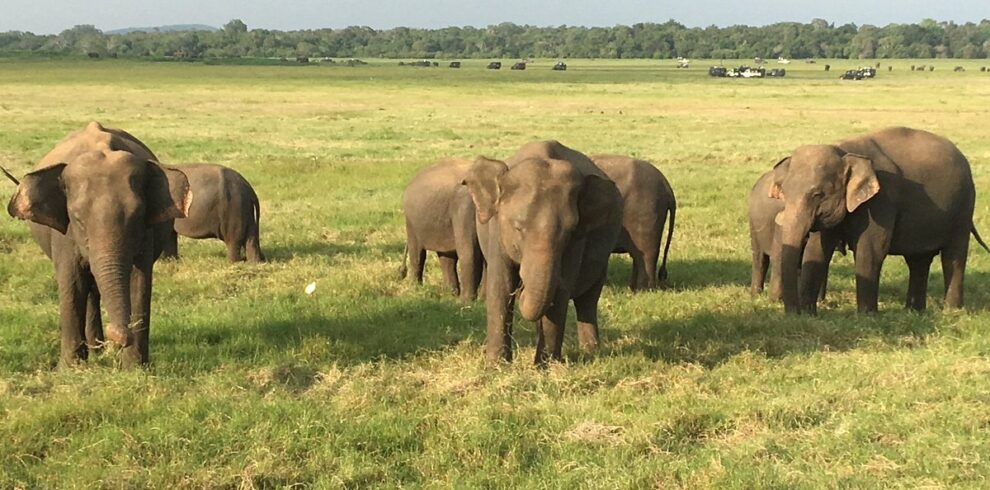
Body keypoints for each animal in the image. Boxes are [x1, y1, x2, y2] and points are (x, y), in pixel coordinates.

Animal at [5, 121, 191, 366]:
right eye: (78, 218)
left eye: (137, 216)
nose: (119, 337)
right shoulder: (65, 236)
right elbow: (72, 281)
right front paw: (71, 368)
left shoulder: (145, 234)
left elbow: (139, 281)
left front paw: (135, 367)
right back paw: (96, 350)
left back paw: (98, 349)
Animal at [400, 158, 483, 302]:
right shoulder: (464, 208)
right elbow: (470, 251)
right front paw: (467, 302)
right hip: (411, 222)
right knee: (417, 252)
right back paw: (416, 288)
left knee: (446, 257)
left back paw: (450, 294)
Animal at [463, 140, 623, 364]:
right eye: (518, 228)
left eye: (570, 232)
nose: (522, 288)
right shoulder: (497, 232)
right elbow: (501, 287)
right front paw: (496, 366)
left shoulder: (576, 243)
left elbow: (561, 290)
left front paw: (545, 367)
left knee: (588, 300)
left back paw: (591, 351)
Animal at [591, 155, 676, 291]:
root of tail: (667, 186)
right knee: (638, 255)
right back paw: (633, 289)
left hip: (645, 211)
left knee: (646, 254)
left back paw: (643, 291)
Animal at [770, 127, 988, 314]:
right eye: (784, 192)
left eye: (817, 194)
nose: (793, 313)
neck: (845, 152)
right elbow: (816, 251)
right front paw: (809, 314)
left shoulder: (881, 201)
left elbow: (872, 249)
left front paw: (867, 316)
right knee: (918, 260)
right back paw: (914, 311)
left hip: (963, 208)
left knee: (953, 257)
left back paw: (951, 312)